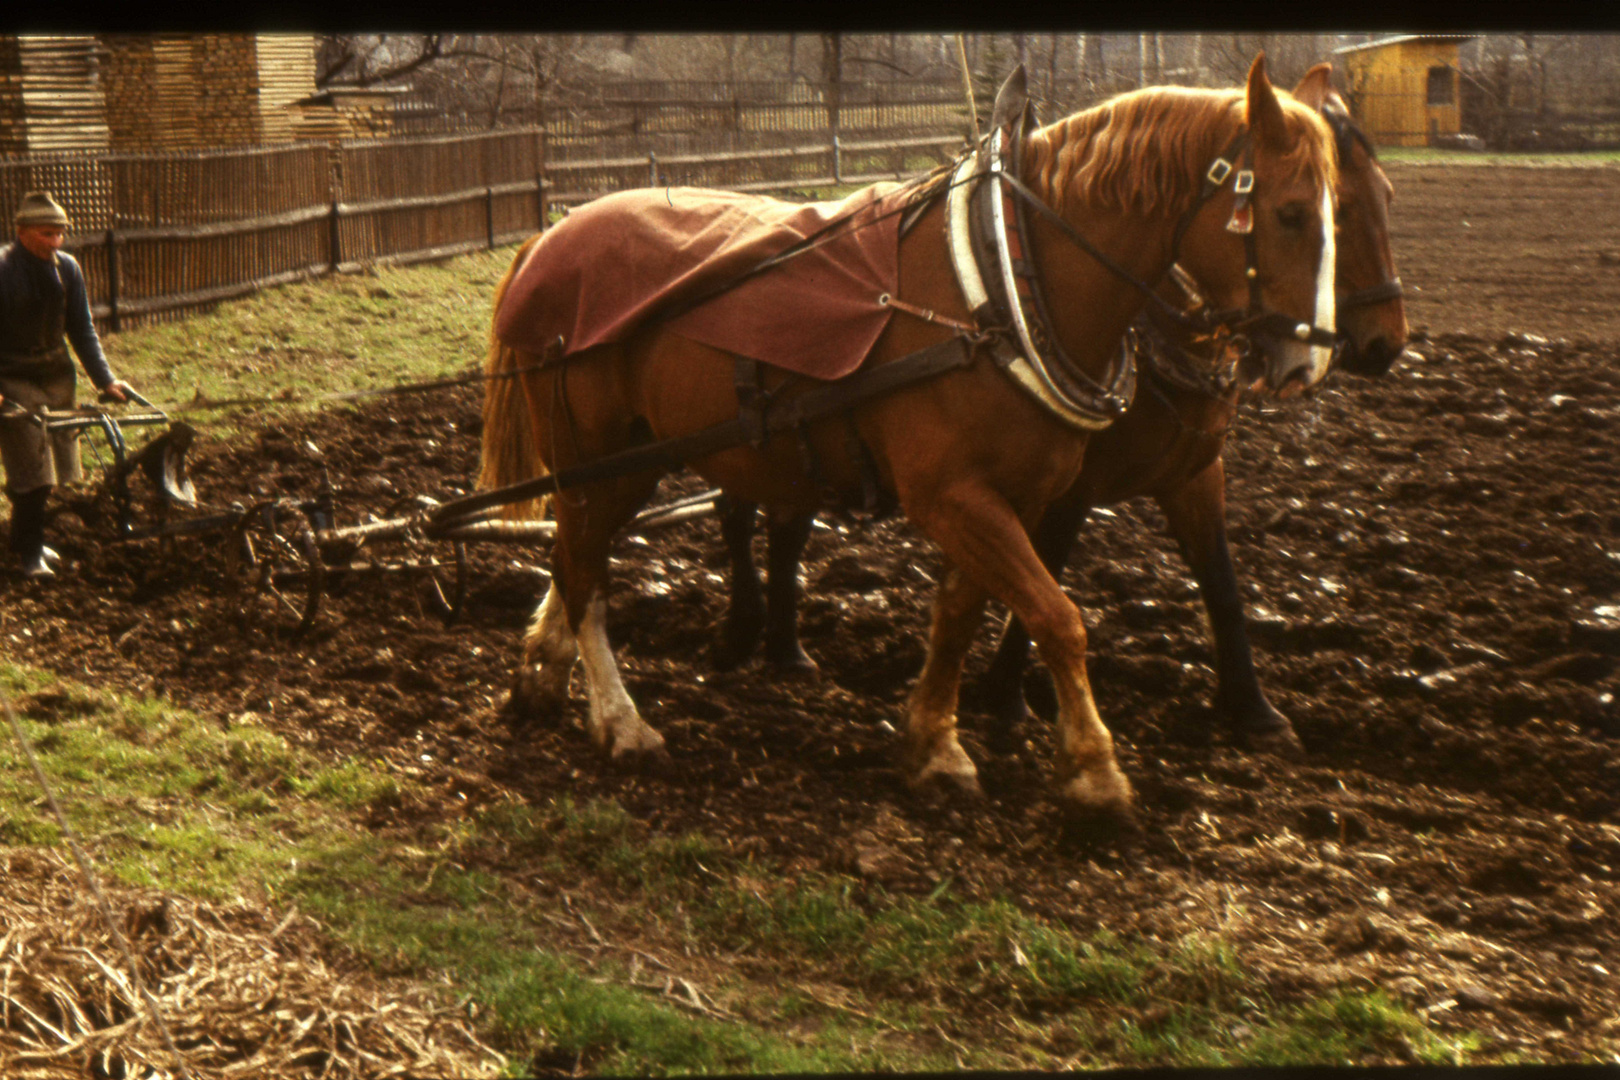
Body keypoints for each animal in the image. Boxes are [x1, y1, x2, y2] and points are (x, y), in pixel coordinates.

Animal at [479, 57, 1341, 829]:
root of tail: (544, 243)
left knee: (575, 556)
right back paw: (621, 723)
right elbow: (1058, 616)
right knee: (582, 569)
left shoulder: (1009, 498)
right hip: (591, 453)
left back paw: (542, 675)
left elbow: (960, 613)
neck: (1006, 279)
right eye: (1292, 212)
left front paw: (933, 746)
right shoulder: (950, 497)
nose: (1307, 362)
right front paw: (1093, 772)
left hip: (634, 460)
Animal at [716, 65, 1412, 761]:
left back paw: (785, 646)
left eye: (1384, 196)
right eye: (1312, 214)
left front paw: (1254, 709)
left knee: (784, 516)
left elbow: (1220, 579)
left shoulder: (1192, 473)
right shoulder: (1064, 485)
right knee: (739, 510)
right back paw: (744, 630)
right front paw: (1007, 692)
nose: (1385, 344)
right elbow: (1044, 571)